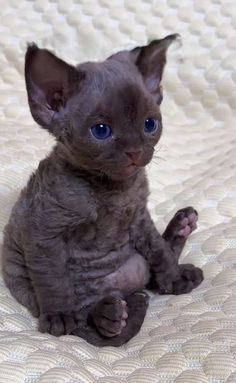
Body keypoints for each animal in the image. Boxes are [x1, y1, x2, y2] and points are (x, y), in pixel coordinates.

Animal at [1, 35, 203, 348]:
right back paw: (108, 315)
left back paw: (182, 235)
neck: (114, 190)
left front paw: (174, 277)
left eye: (150, 124)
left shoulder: (139, 218)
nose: (135, 152)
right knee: (92, 323)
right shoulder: (43, 234)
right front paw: (58, 315)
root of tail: (125, 289)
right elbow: (53, 280)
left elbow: (159, 251)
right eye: (101, 131)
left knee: (153, 274)